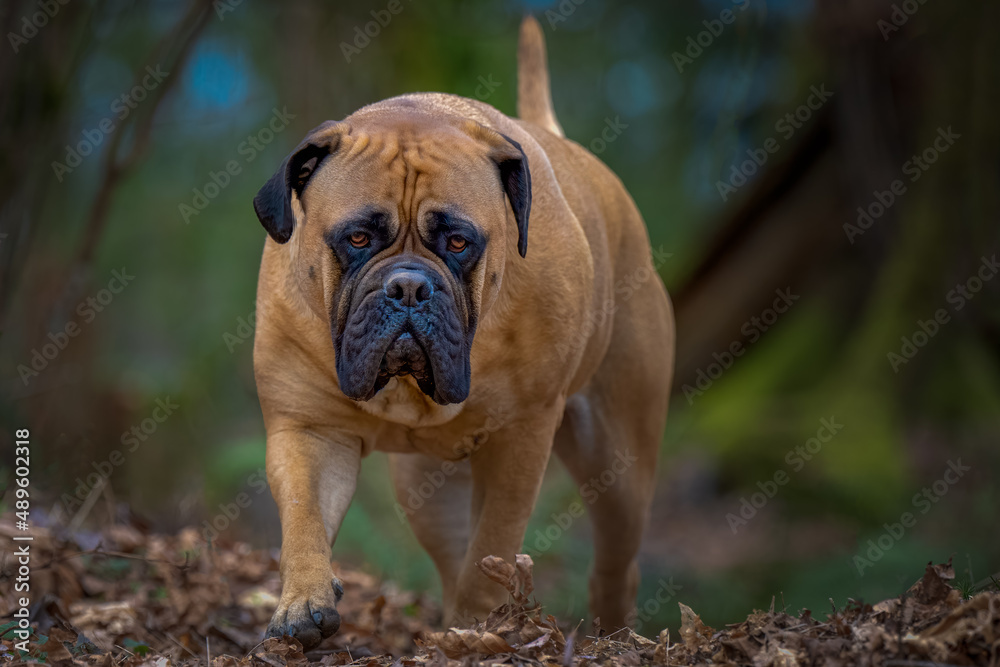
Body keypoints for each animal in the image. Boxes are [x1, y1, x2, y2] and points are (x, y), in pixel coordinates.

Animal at [252, 17, 672, 652]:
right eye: (357, 238)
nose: (408, 287)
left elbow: (491, 550)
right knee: (452, 552)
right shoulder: (307, 429)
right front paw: (303, 603)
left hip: (619, 464)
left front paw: (482, 630)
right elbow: (304, 519)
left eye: (457, 242)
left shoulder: (522, 438)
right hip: (426, 490)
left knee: (615, 564)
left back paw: (609, 635)